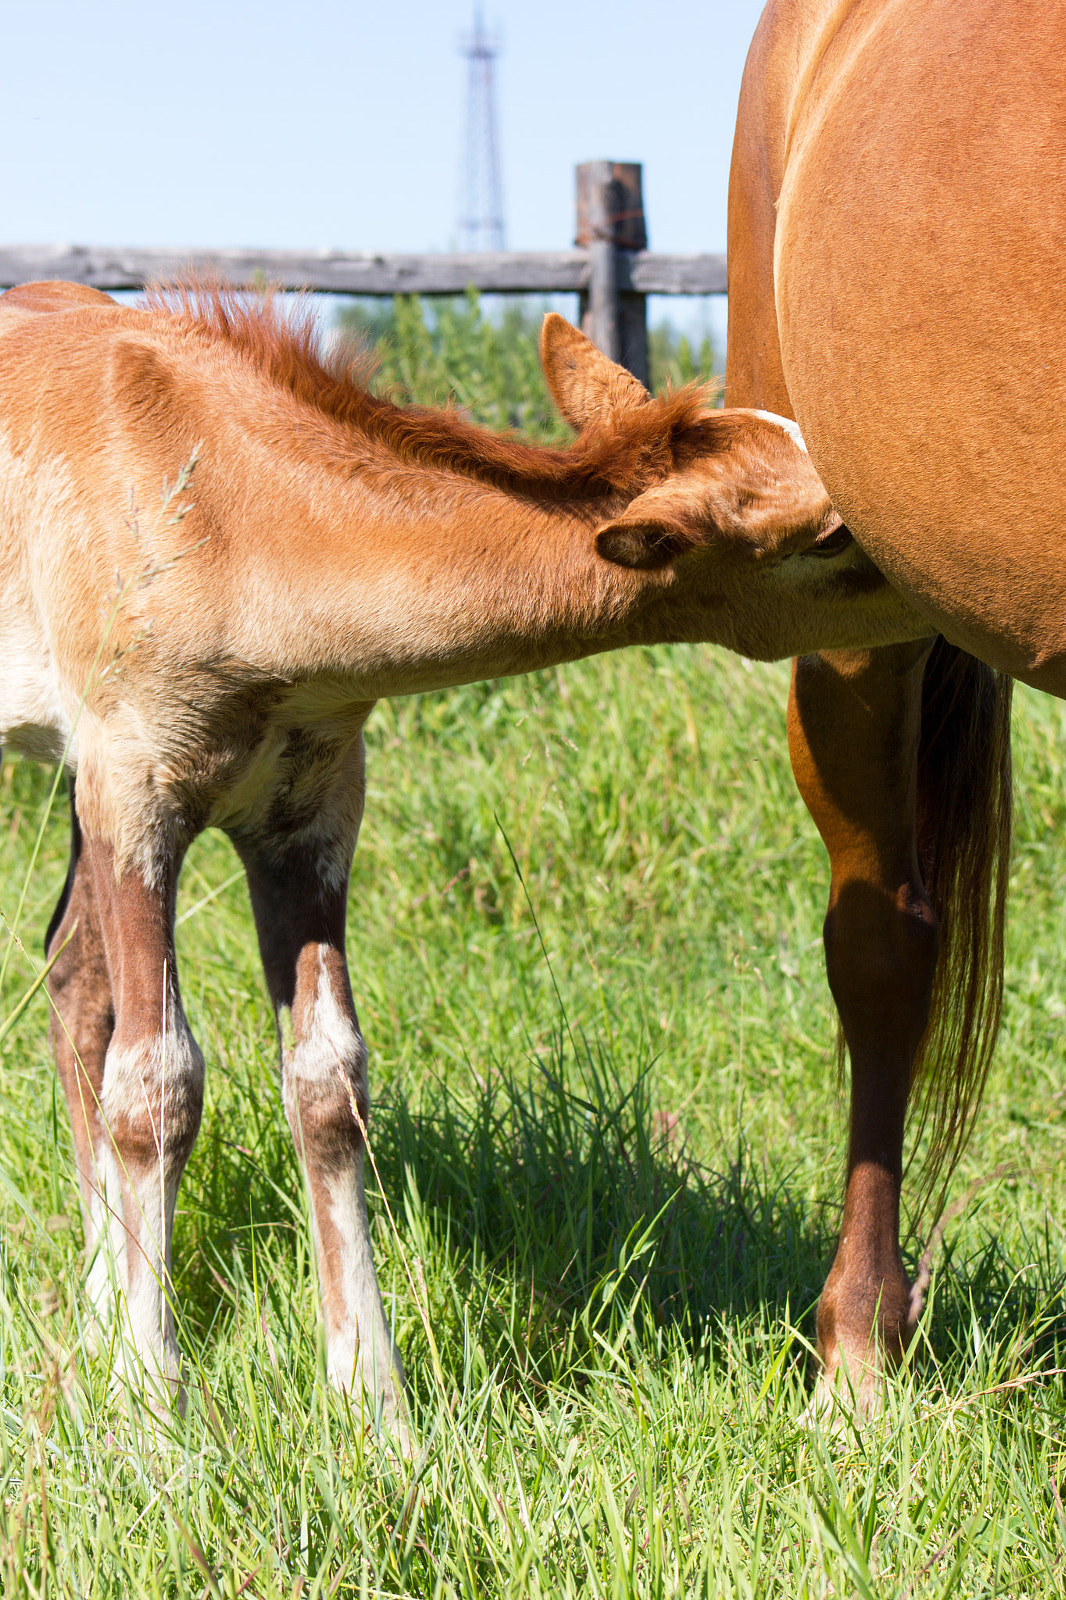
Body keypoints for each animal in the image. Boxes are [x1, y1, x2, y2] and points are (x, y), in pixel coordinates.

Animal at [0, 278, 929, 1437]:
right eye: (833, 535)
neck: (234, 524)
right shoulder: (132, 781)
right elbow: (156, 1081)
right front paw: (151, 1406)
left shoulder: (311, 805)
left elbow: (328, 1081)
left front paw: (374, 1404)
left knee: (71, 977)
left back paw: (88, 1317)